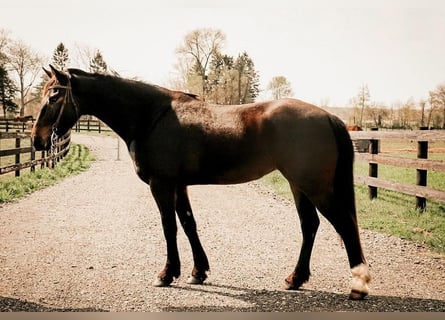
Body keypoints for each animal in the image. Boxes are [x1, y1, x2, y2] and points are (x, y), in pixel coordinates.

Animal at [31, 65, 370, 300]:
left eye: (55, 95)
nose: (37, 140)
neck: (150, 117)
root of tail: (327, 116)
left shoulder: (161, 185)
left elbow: (169, 226)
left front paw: (167, 274)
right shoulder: (179, 185)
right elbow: (188, 223)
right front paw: (198, 271)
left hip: (315, 187)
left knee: (343, 224)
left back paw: (358, 285)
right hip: (299, 186)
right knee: (310, 225)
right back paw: (295, 279)